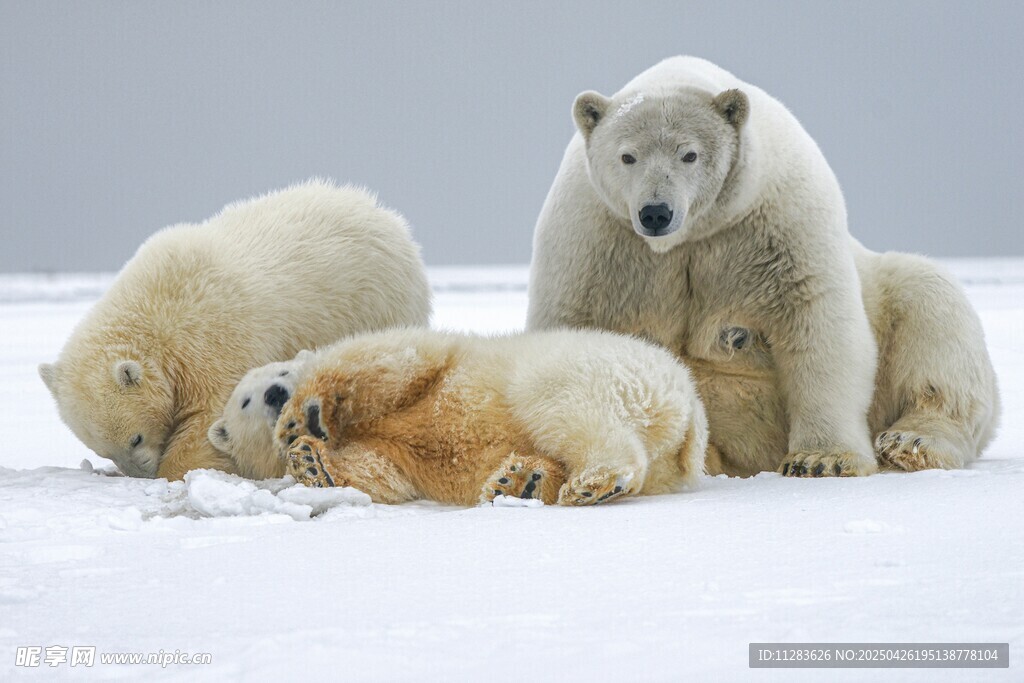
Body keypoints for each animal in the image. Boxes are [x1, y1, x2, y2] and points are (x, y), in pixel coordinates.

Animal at [39, 179, 432, 480]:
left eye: (135, 439)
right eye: (103, 449)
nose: (141, 474)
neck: (154, 309)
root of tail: (388, 217)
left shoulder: (210, 339)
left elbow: (211, 414)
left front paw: (181, 470)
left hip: (377, 302)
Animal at [252, 327, 707, 506]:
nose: (272, 398)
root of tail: (688, 399)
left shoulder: (437, 362)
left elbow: (387, 361)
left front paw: (302, 420)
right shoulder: (392, 449)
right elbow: (382, 470)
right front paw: (312, 464)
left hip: (588, 372)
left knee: (565, 408)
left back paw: (591, 484)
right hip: (665, 459)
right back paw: (522, 481)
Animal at [527, 56, 999, 477]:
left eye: (689, 154)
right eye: (627, 156)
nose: (656, 212)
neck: (690, 236)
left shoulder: (778, 224)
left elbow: (819, 323)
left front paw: (821, 459)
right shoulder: (595, 243)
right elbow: (570, 332)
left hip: (892, 295)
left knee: (933, 318)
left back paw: (911, 441)